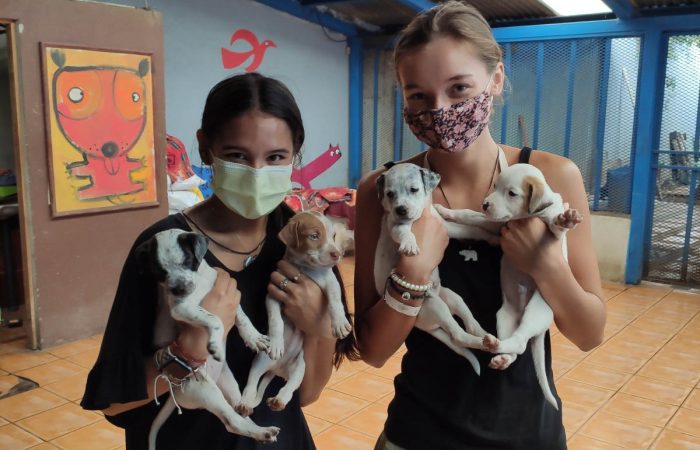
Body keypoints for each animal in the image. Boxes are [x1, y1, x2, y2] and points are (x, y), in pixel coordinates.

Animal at [135, 230, 280, 448]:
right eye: (160, 272)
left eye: (187, 261)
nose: (179, 289)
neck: (200, 283)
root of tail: (173, 390)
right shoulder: (182, 308)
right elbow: (215, 318)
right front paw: (215, 345)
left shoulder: (229, 298)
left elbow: (242, 317)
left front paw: (253, 337)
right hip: (206, 391)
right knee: (232, 422)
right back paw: (261, 433)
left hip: (229, 384)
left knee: (240, 412)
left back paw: (260, 430)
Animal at [238, 211, 352, 414]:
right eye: (314, 236)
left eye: (333, 236)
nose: (337, 255)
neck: (304, 268)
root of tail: (277, 369)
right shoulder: (273, 294)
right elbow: (276, 321)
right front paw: (277, 342)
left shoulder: (330, 282)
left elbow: (335, 302)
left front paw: (339, 323)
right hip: (260, 361)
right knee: (251, 384)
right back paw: (245, 403)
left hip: (300, 368)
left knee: (289, 388)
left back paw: (278, 400)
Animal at [374, 163, 500, 374]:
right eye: (389, 194)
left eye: (414, 189)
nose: (400, 210)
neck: (420, 216)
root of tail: (424, 325)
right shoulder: (395, 226)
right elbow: (404, 232)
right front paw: (410, 244)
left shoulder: (446, 226)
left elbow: (471, 229)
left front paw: (492, 237)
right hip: (436, 307)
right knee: (458, 336)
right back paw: (485, 343)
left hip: (452, 298)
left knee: (469, 326)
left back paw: (488, 337)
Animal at [438, 163, 580, 410]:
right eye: (495, 186)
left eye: (512, 193)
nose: (485, 204)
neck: (527, 215)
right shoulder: (495, 227)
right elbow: (469, 216)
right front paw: (444, 214)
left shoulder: (550, 233)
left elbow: (556, 225)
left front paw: (566, 219)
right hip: (504, 317)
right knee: (514, 347)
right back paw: (499, 353)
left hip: (536, 311)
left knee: (521, 342)